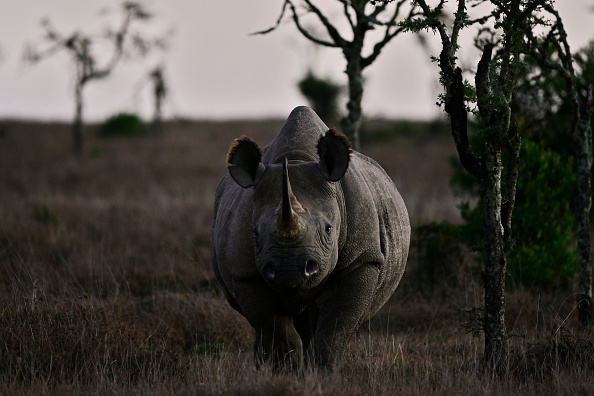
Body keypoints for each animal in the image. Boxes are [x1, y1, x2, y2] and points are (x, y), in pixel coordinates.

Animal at [210, 105, 410, 372]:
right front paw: (286, 373)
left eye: (328, 229)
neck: (296, 159)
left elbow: (333, 330)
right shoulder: (244, 273)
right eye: (255, 233)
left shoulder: (361, 260)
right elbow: (276, 331)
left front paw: (320, 375)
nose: (290, 270)